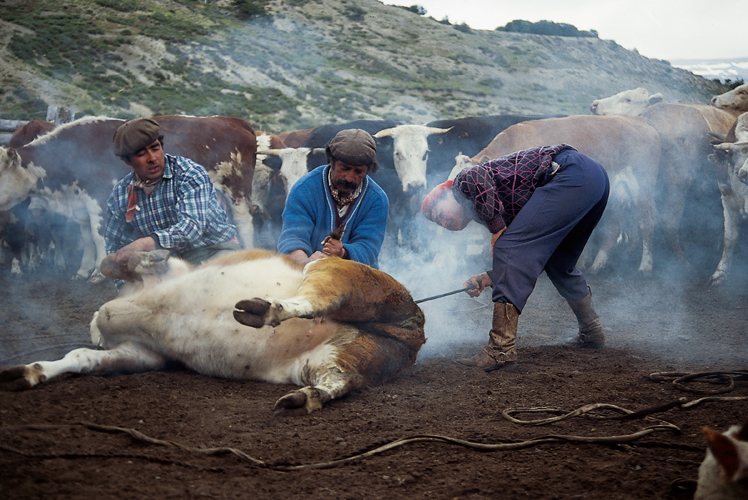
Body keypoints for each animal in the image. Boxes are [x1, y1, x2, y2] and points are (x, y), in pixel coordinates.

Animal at [0, 250, 426, 414]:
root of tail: (416, 325)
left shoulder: (169, 271)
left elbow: (118, 261)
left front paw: (144, 255)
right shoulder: (143, 353)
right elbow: (83, 357)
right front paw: (28, 373)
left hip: (335, 272)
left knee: (313, 300)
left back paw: (261, 310)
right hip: (334, 356)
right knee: (342, 379)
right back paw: (304, 398)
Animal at [462, 114, 660, 274]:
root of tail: (641, 121)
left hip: (644, 188)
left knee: (647, 223)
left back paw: (645, 265)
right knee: (614, 226)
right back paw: (598, 263)